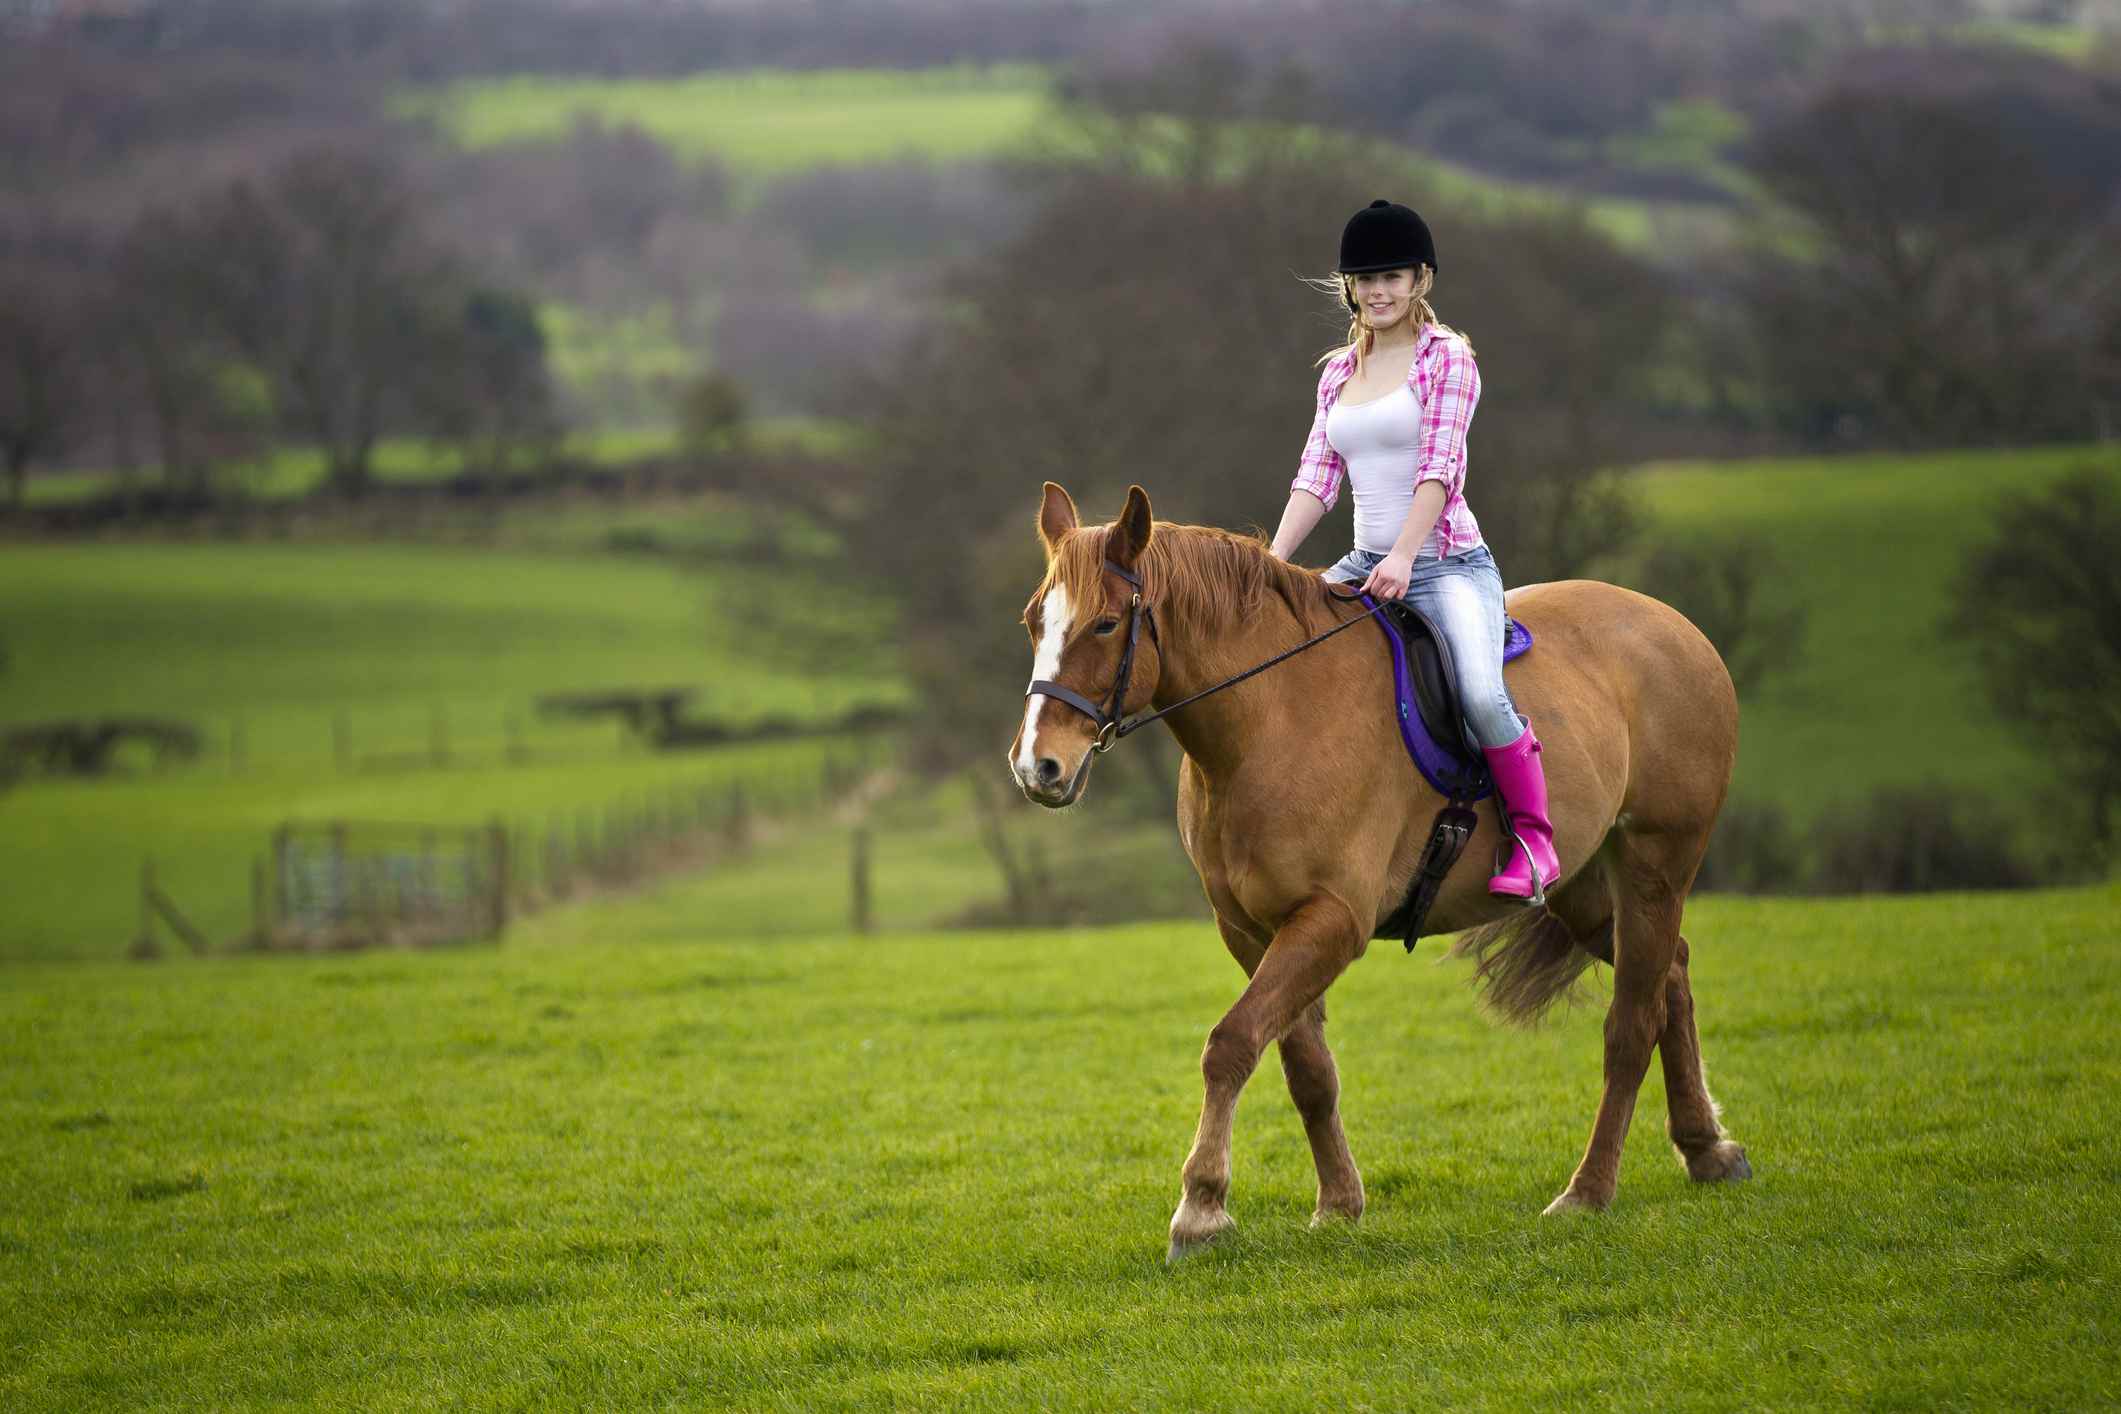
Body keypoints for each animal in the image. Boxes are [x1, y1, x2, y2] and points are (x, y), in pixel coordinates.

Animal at [1009, 487, 1756, 1263]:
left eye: (1103, 623)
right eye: (1034, 620)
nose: (1038, 768)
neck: (1270, 719)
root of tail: (1673, 625)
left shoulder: (1331, 921)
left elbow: (1231, 1045)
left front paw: (1201, 1210)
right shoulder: (1251, 931)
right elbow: (1306, 1069)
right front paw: (1338, 1203)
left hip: (1654, 863)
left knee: (1631, 1022)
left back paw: (1588, 1191)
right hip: (1582, 890)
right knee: (1670, 973)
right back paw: (1707, 1149)